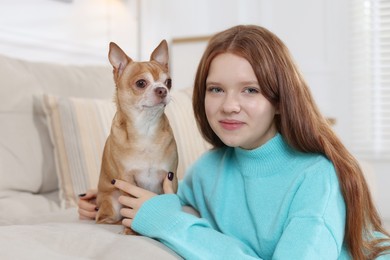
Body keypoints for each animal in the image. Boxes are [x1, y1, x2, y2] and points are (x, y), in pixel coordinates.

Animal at [96, 39, 178, 235]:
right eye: (141, 83)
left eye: (168, 82)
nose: (162, 90)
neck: (146, 128)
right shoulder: (127, 180)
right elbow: (130, 208)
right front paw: (130, 230)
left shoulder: (171, 177)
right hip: (112, 200)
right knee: (103, 218)